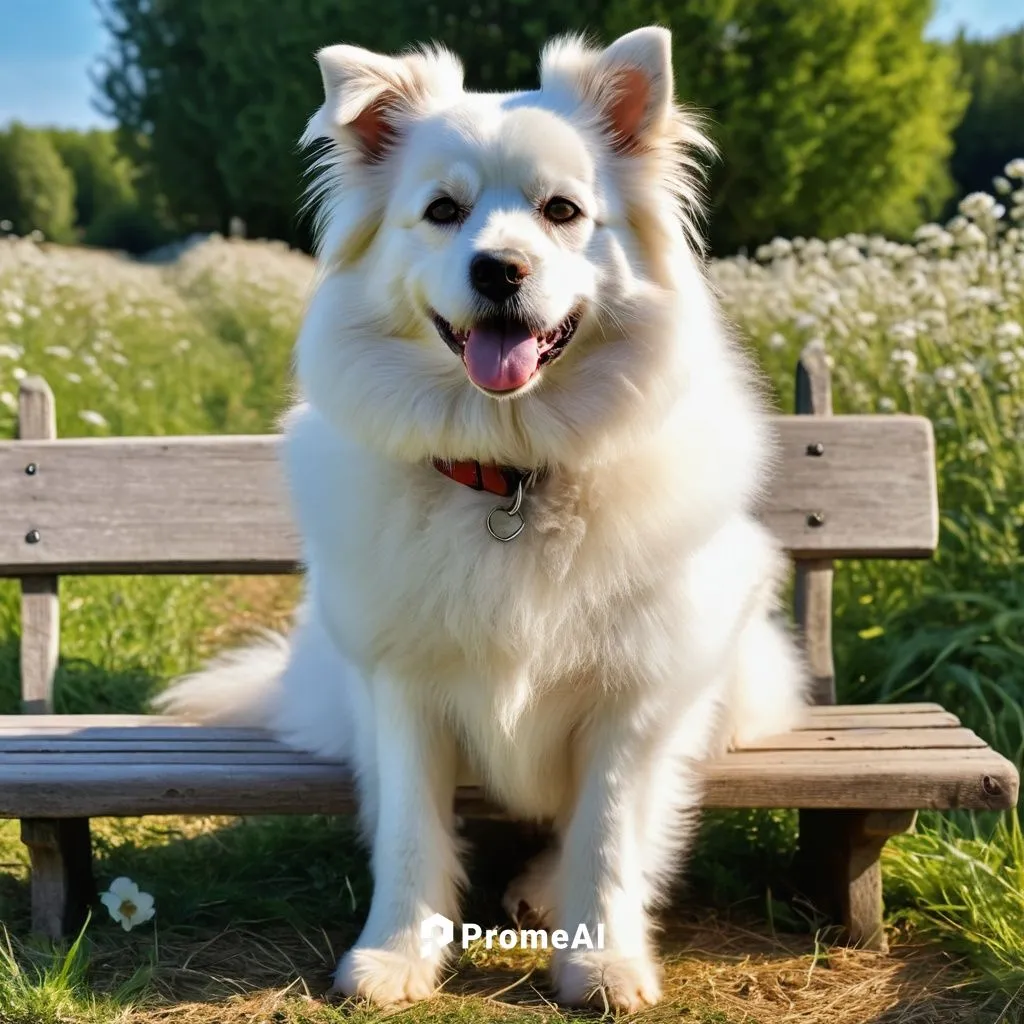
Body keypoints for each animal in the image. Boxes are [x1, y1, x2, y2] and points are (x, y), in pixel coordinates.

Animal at [159, 28, 802, 1011]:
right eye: (443, 210)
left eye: (563, 210)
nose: (499, 268)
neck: (509, 477)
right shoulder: (405, 689)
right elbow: (409, 835)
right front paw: (395, 957)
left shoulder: (634, 700)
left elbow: (607, 838)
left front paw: (602, 961)